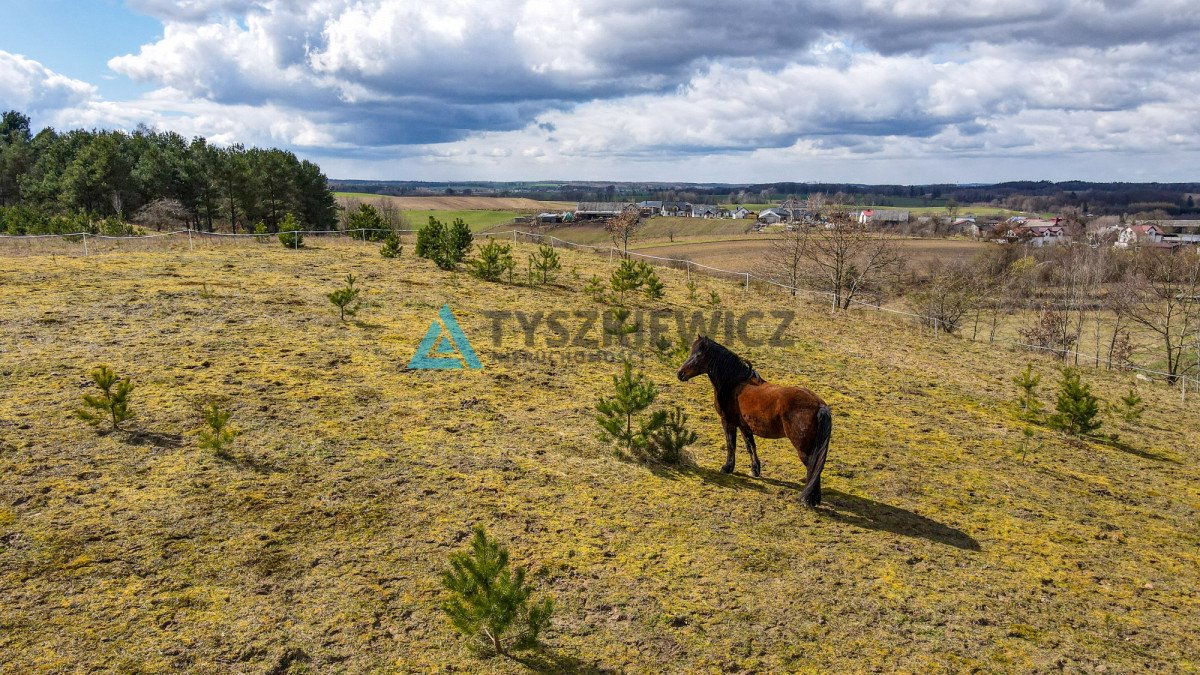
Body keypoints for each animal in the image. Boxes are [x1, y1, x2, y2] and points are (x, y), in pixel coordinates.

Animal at [681, 333, 830, 502]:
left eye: (698, 355)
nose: (680, 374)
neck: (734, 383)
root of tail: (819, 405)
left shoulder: (728, 422)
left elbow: (731, 445)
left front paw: (727, 467)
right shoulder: (744, 426)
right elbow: (750, 446)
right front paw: (755, 470)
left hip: (803, 448)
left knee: (812, 466)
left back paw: (808, 499)